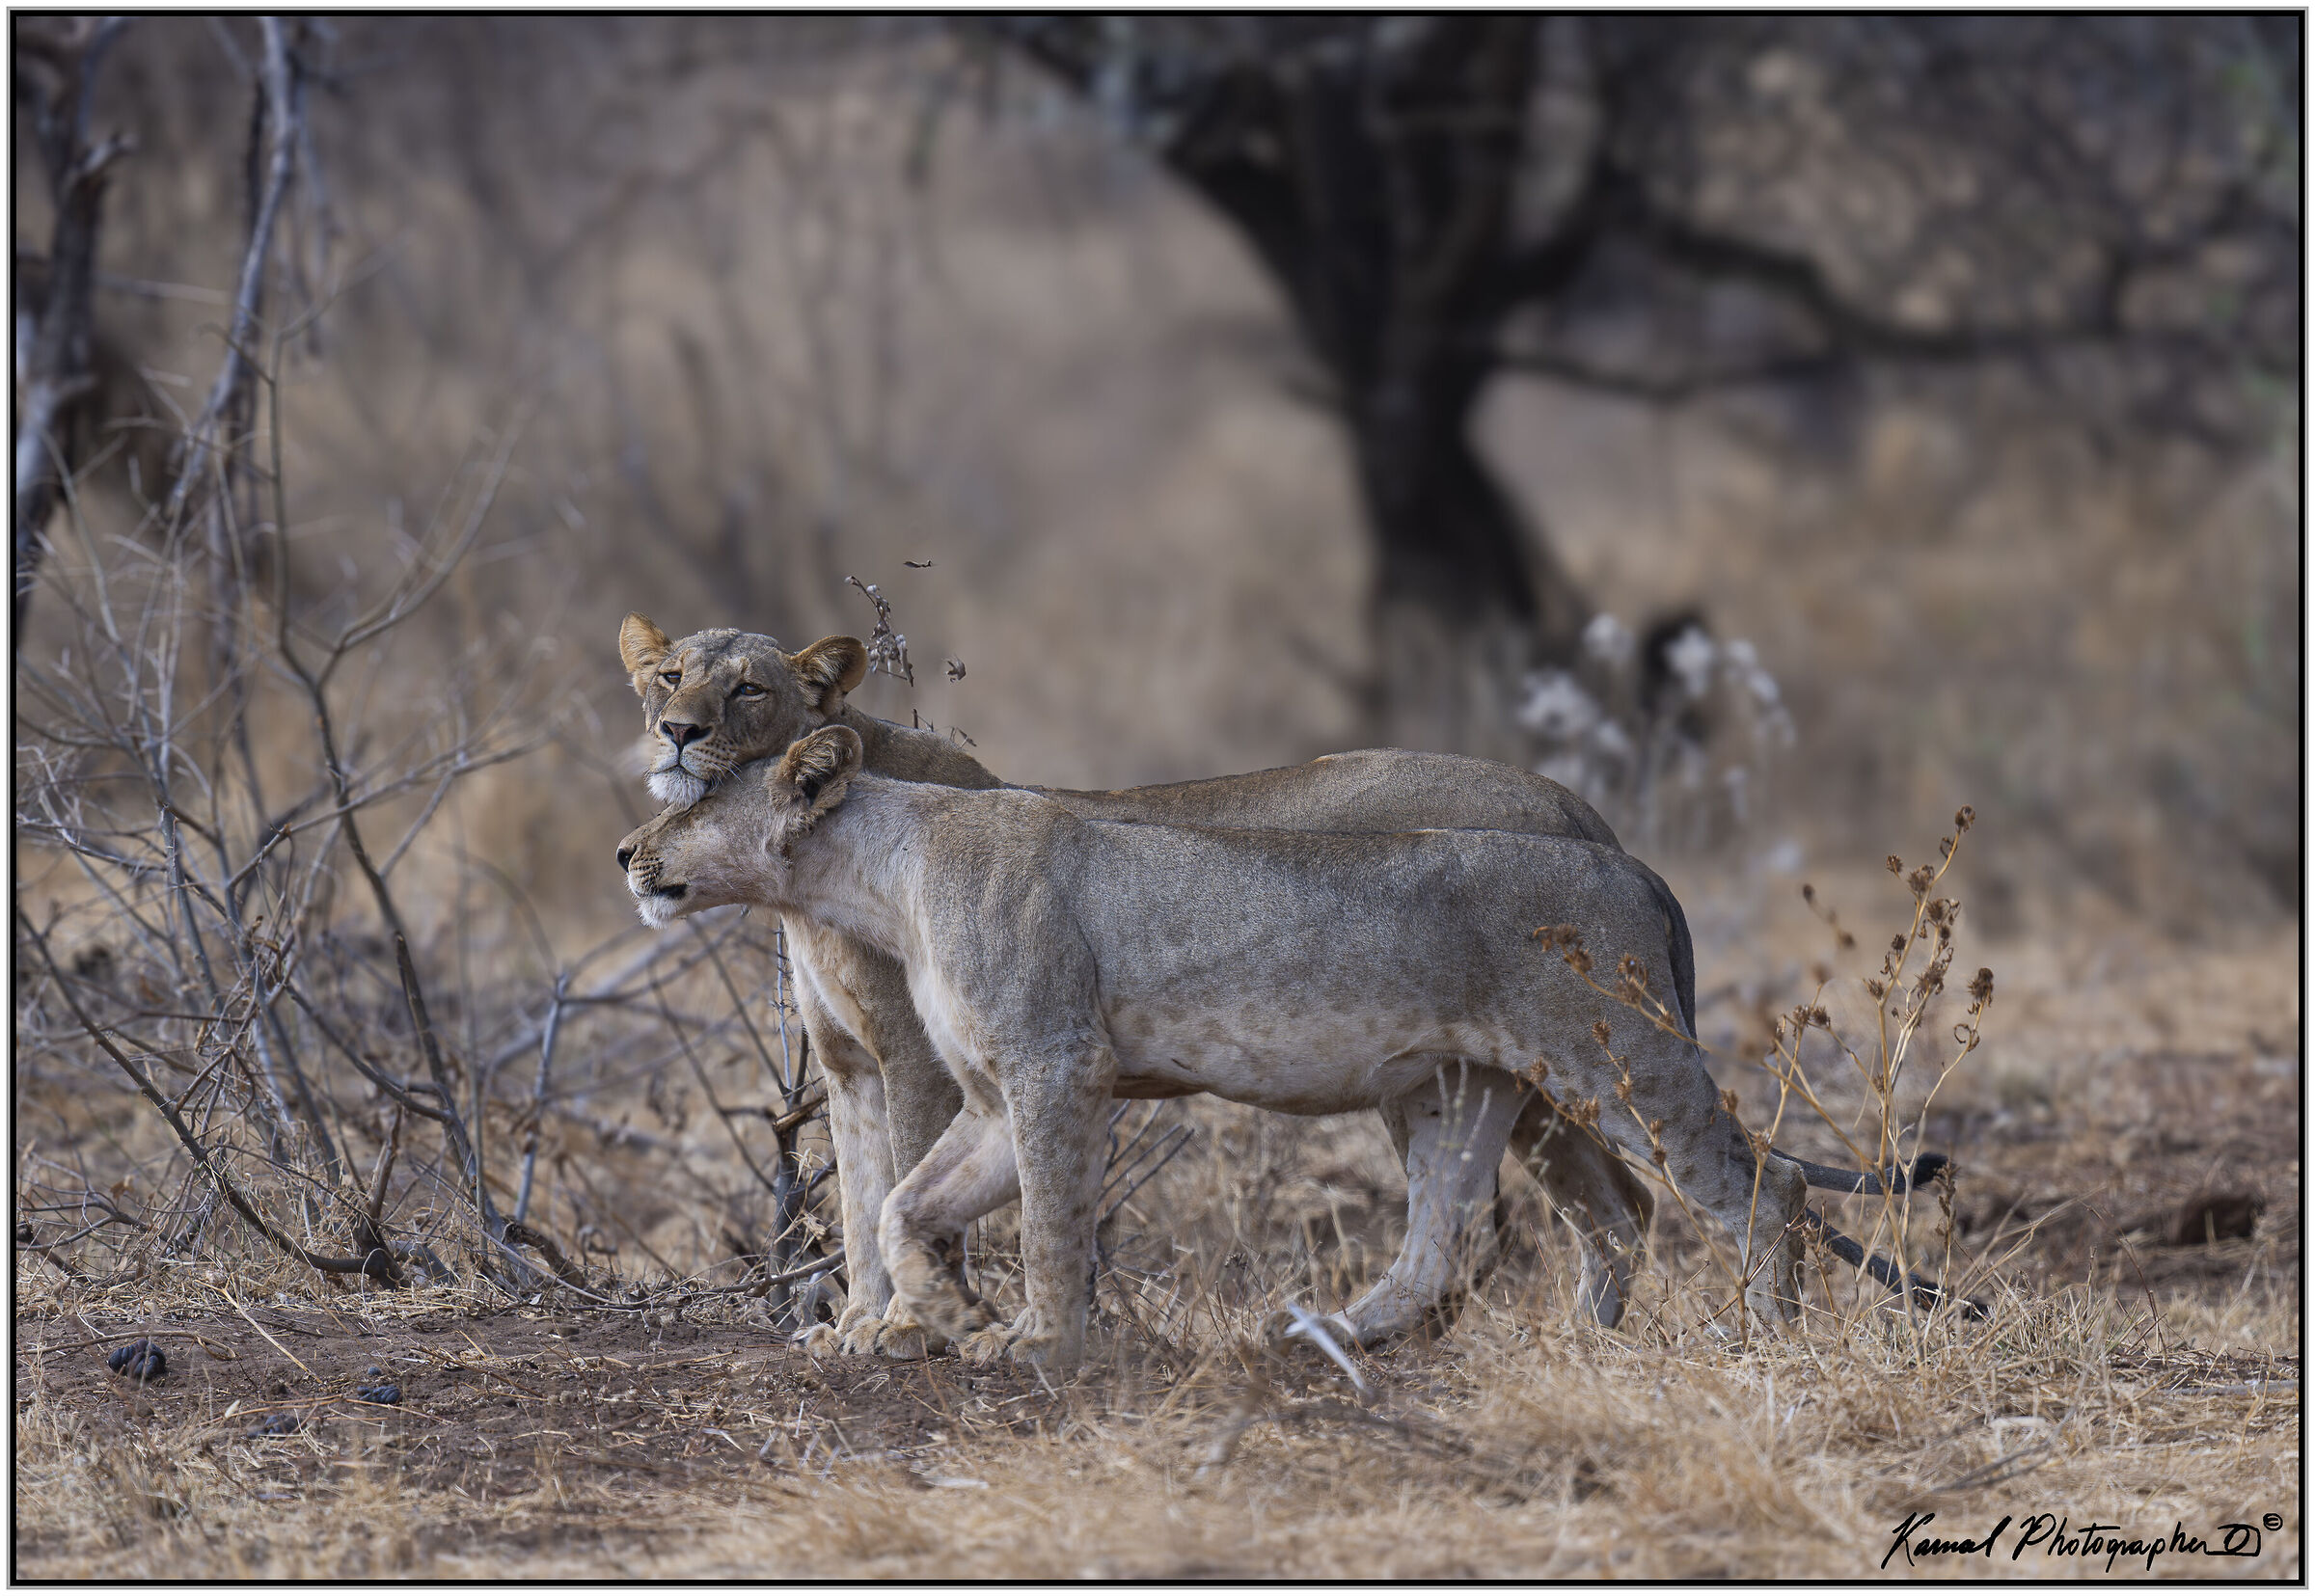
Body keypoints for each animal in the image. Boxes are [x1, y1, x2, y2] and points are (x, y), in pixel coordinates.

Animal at [616, 615, 1946, 1354]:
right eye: (664, 682)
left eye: (709, 783)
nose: (629, 849)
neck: (877, 874)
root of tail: (1626, 854)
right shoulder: (990, 1093)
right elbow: (898, 1205)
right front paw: (922, 1319)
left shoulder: (1052, 1067)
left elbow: (1043, 1219)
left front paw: (1026, 1342)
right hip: (1462, 1086)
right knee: (1477, 1228)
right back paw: (1367, 1335)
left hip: (1621, 1059)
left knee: (1762, 1190)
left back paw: (1756, 1345)